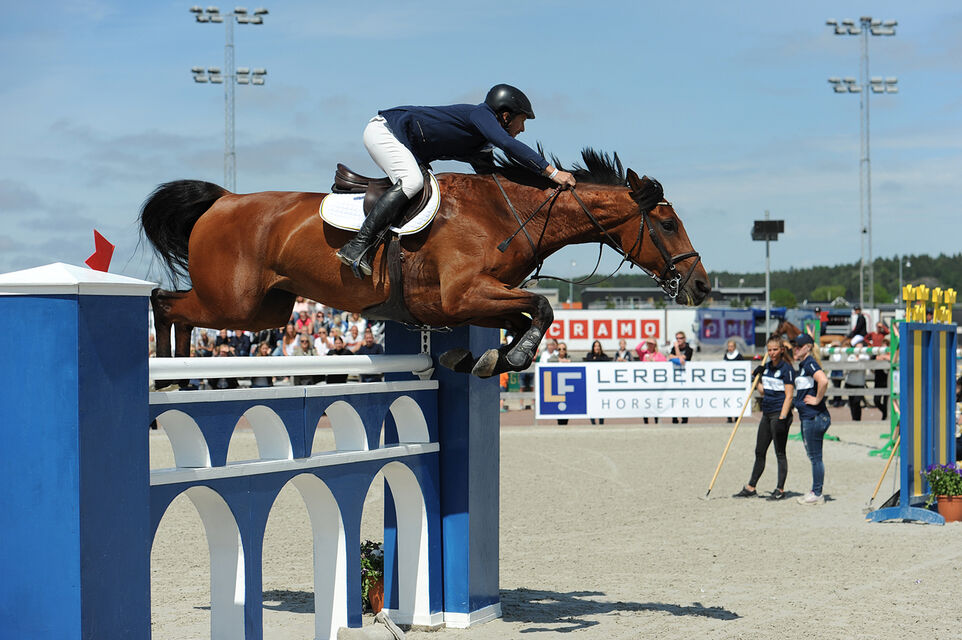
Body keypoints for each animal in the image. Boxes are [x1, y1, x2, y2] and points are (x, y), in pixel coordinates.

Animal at [141, 149, 711, 378]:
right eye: (666, 223)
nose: (702, 286)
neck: (507, 213)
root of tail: (223, 200)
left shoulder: (463, 303)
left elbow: (526, 315)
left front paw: (487, 358)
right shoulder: (463, 294)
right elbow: (544, 310)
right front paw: (509, 357)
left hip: (267, 311)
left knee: (177, 308)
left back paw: (180, 374)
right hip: (233, 302)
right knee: (165, 303)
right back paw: (167, 376)